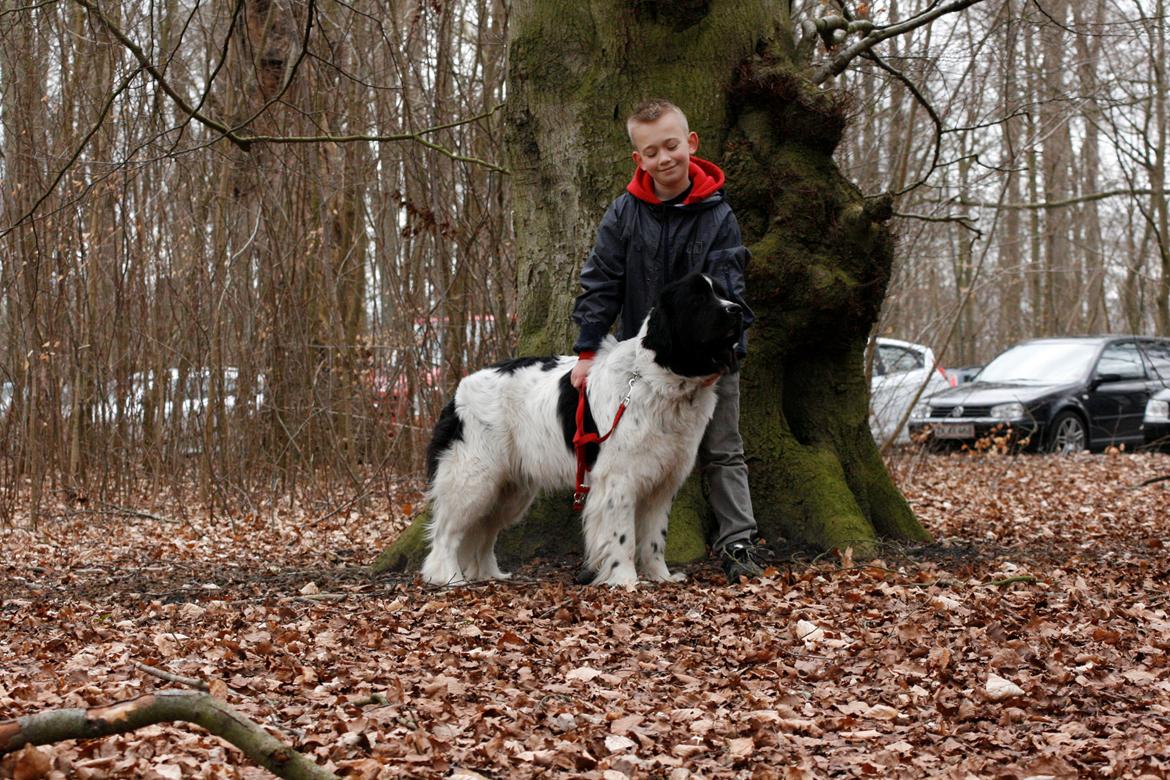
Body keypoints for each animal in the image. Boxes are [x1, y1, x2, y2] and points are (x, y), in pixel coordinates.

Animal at [421, 274, 739, 584]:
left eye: (721, 293)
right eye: (698, 300)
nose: (737, 310)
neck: (655, 380)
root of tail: (456, 394)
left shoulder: (662, 483)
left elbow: (655, 539)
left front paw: (662, 576)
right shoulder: (618, 481)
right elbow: (622, 537)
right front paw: (626, 580)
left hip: (510, 489)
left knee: (485, 531)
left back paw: (490, 573)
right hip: (474, 477)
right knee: (445, 532)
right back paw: (448, 577)